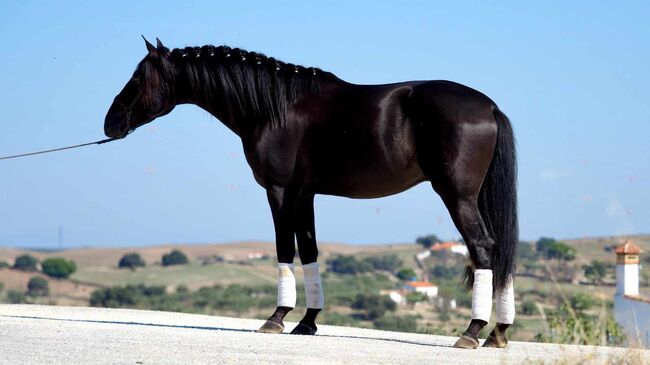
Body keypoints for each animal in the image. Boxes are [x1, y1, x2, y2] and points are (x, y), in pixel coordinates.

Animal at [105, 38, 516, 348]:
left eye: (137, 77)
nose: (110, 123)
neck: (276, 108)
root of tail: (490, 107)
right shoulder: (305, 195)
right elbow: (310, 251)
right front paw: (308, 322)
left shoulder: (279, 191)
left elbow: (285, 249)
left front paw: (276, 318)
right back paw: (497, 332)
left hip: (458, 197)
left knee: (483, 248)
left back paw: (472, 332)